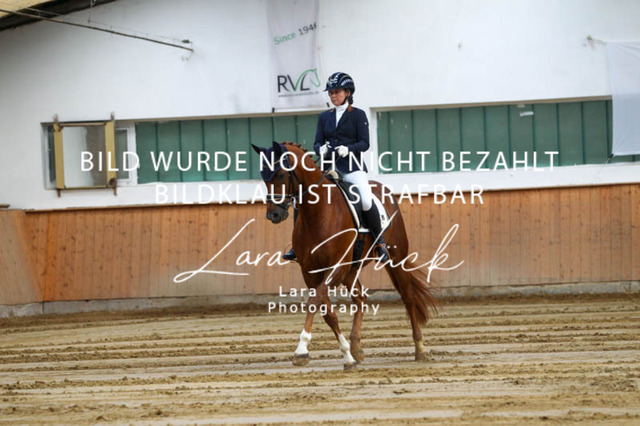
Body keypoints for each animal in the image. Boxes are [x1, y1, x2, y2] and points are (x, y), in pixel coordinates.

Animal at [252, 142, 438, 370]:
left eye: (280, 174)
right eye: (263, 176)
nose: (274, 215)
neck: (318, 212)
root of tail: (382, 189)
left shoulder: (336, 268)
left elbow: (315, 302)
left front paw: (301, 350)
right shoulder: (311, 272)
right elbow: (327, 311)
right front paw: (347, 355)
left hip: (396, 258)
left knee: (408, 297)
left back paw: (420, 349)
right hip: (351, 269)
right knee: (360, 298)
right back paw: (356, 347)